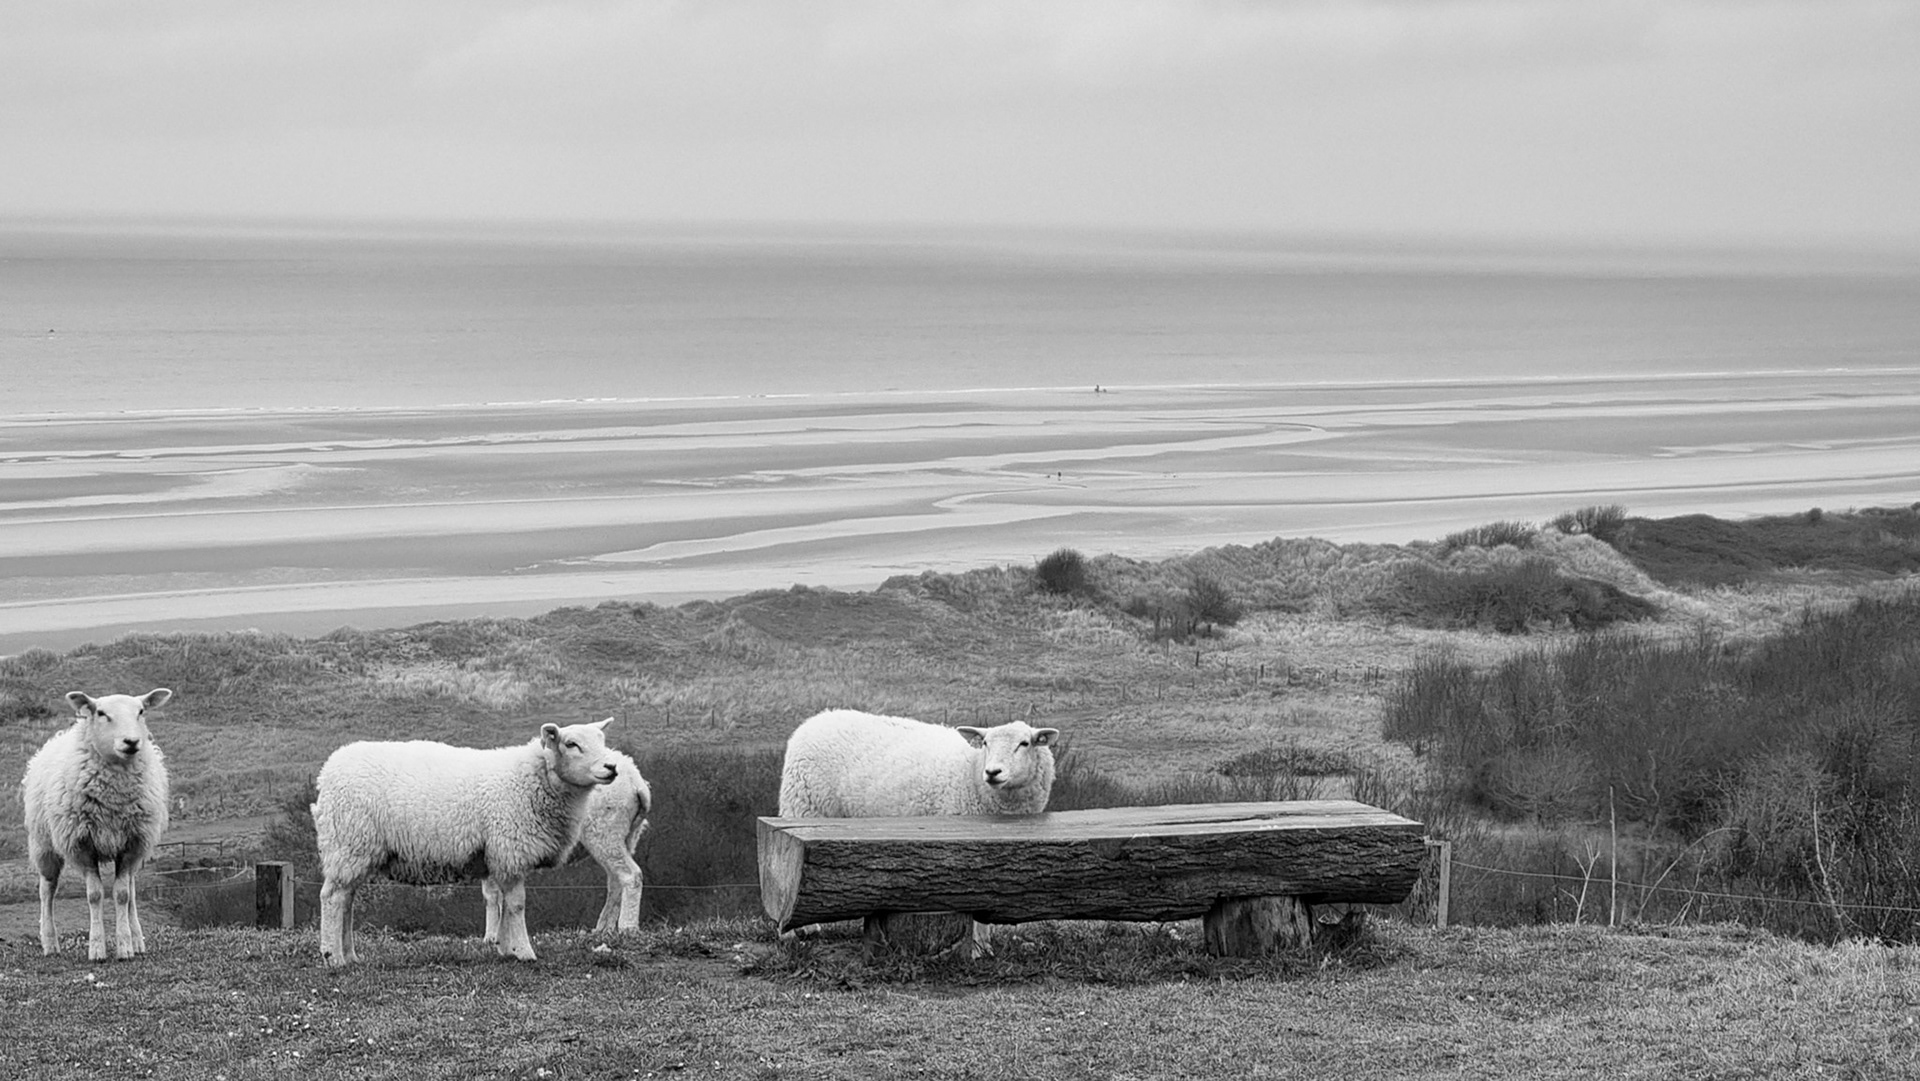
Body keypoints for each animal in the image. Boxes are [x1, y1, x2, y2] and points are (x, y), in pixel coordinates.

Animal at [21, 689, 174, 961]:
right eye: (101, 713)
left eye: (141, 711)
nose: (131, 742)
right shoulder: (82, 845)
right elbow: (94, 895)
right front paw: (97, 948)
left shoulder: (131, 844)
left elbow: (123, 895)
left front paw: (125, 947)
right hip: (43, 844)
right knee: (46, 890)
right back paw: (50, 943)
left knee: (131, 890)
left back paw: (137, 939)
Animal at [312, 718, 619, 967]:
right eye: (571, 743)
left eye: (603, 740)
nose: (612, 767)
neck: (532, 779)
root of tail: (327, 773)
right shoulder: (510, 850)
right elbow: (517, 905)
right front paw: (524, 952)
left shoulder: (499, 858)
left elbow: (503, 903)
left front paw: (505, 949)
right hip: (350, 842)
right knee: (332, 898)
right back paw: (333, 957)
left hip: (354, 851)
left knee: (347, 900)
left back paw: (350, 956)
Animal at [479, 748, 653, 940]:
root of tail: (636, 781)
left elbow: (491, 895)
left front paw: (492, 937)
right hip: (628, 835)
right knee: (615, 881)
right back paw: (603, 929)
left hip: (605, 830)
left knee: (631, 876)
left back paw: (627, 928)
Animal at [777, 708, 1060, 953]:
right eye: (986, 743)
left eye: (1024, 743)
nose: (992, 772)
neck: (971, 773)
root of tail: (819, 718)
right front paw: (977, 948)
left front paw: (984, 947)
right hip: (804, 807)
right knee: (786, 870)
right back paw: (792, 932)